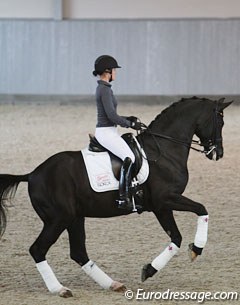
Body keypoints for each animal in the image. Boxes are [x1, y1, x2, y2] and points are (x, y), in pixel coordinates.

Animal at [0, 96, 232, 296]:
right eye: (219, 121)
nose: (218, 153)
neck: (164, 151)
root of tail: (32, 174)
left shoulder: (161, 207)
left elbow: (176, 237)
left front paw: (150, 269)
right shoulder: (165, 199)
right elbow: (201, 209)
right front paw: (197, 248)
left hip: (75, 217)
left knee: (78, 252)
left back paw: (112, 284)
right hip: (58, 219)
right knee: (38, 250)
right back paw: (60, 289)